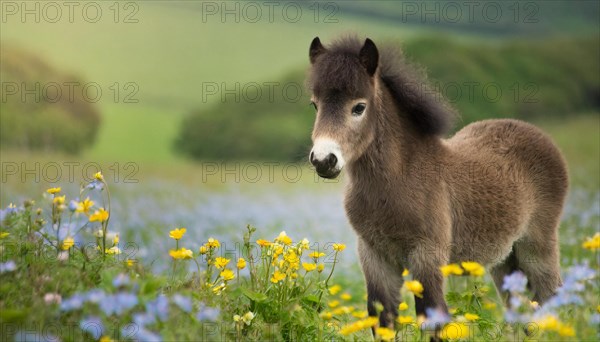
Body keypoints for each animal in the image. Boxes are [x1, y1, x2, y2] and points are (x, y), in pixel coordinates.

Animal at [308, 36, 568, 334]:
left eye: (359, 107)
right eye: (315, 105)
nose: (323, 160)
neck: (398, 180)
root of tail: (538, 134)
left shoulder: (428, 256)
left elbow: (432, 316)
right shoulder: (374, 256)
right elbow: (383, 320)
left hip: (537, 250)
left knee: (555, 300)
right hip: (505, 260)